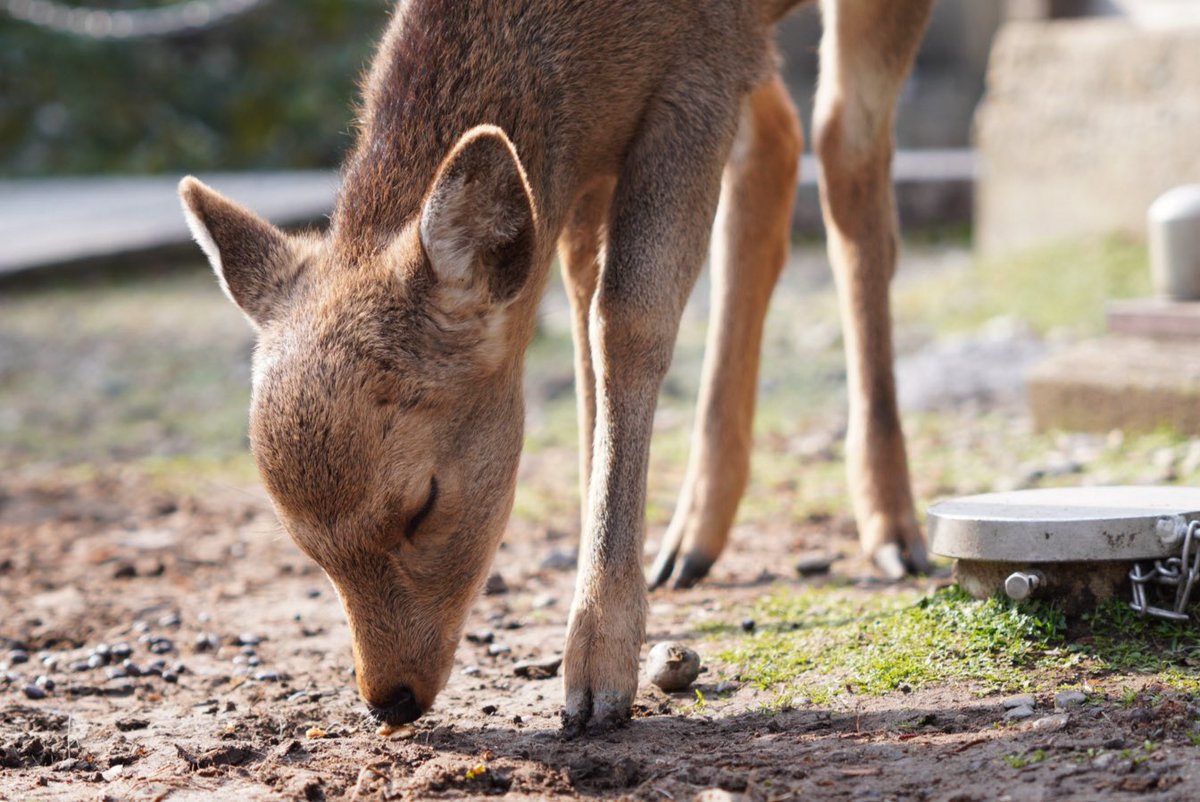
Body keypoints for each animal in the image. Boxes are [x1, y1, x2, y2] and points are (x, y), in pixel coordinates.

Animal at [179, 0, 934, 735]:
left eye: (422, 504)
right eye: (302, 541)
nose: (387, 699)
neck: (594, 41)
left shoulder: (702, 70)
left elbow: (627, 318)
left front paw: (598, 676)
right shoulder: (608, 140)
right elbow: (581, 309)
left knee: (847, 154)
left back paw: (896, 533)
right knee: (779, 143)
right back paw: (690, 544)